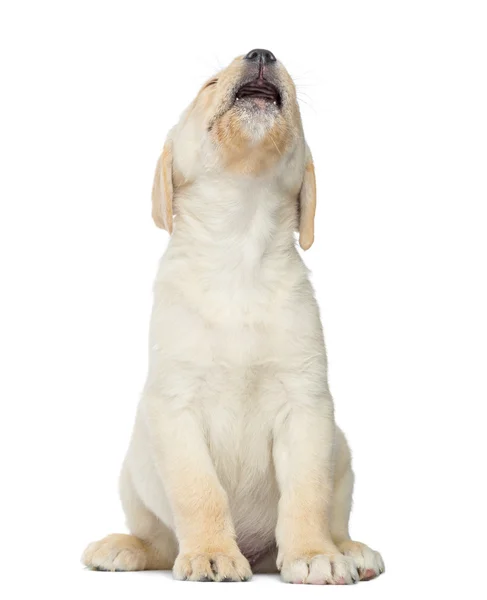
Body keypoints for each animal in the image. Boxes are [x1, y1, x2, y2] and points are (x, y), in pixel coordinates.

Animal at [82, 49, 386, 584]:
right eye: (208, 84)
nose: (262, 54)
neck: (239, 246)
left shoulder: (306, 406)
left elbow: (307, 493)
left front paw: (312, 553)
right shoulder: (174, 408)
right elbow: (199, 492)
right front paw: (209, 553)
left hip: (343, 453)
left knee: (335, 516)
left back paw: (350, 550)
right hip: (134, 471)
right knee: (158, 540)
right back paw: (124, 547)